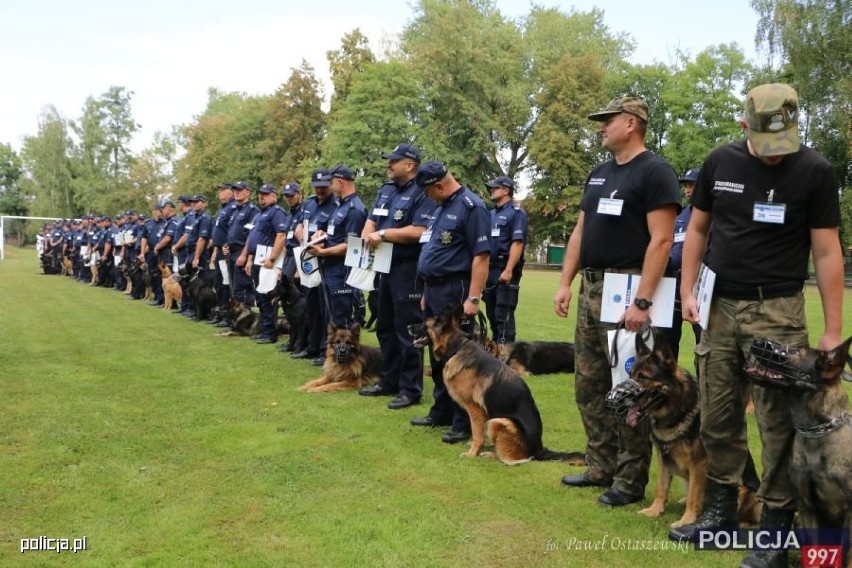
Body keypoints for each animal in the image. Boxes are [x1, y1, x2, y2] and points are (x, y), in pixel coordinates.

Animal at [408, 306, 584, 466]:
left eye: (424, 324)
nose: (408, 326)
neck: (456, 348)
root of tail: (539, 449)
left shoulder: (476, 409)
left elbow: (477, 434)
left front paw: (472, 453)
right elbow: (478, 433)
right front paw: (476, 447)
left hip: (498, 421)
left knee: (514, 459)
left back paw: (490, 454)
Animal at [604, 330, 764, 532]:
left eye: (643, 377)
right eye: (631, 374)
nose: (615, 398)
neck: (676, 410)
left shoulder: (699, 464)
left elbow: (694, 496)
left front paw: (687, 520)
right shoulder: (663, 459)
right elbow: (661, 487)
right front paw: (655, 510)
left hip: (743, 489)